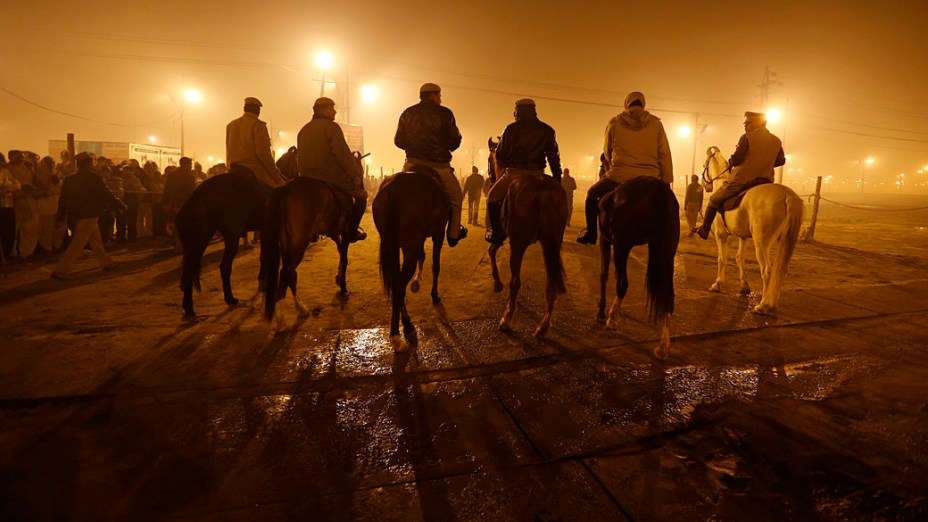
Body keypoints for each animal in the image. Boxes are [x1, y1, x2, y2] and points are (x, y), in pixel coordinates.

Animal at [177, 162, 264, 318]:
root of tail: (199, 193)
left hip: (203, 237)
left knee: (189, 267)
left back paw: (188, 308)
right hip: (231, 235)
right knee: (225, 266)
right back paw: (230, 298)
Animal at [260, 150, 366, 330]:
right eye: (361, 170)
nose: (361, 184)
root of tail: (285, 189)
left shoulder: (334, 233)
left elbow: (340, 253)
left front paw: (338, 278)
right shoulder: (345, 233)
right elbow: (344, 258)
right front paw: (343, 286)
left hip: (287, 242)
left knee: (289, 273)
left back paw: (300, 309)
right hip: (299, 242)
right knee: (287, 272)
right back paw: (282, 320)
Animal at [376, 169, 452, 352]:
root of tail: (393, 191)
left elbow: (422, 256)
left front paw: (417, 282)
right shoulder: (438, 233)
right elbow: (435, 265)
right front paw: (434, 295)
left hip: (392, 242)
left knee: (396, 281)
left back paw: (406, 323)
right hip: (410, 241)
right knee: (399, 284)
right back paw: (396, 333)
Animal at [600, 175, 676, 358]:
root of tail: (657, 190)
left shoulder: (604, 239)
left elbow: (604, 274)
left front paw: (602, 310)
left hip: (621, 244)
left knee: (622, 284)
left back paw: (612, 318)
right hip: (667, 251)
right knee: (668, 295)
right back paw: (663, 347)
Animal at [704, 144, 804, 312]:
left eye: (704, 165)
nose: (706, 186)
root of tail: (787, 195)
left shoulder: (721, 234)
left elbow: (722, 259)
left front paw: (717, 284)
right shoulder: (743, 236)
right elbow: (739, 258)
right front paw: (744, 288)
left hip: (761, 243)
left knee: (767, 270)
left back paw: (763, 305)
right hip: (784, 240)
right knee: (782, 269)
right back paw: (772, 302)